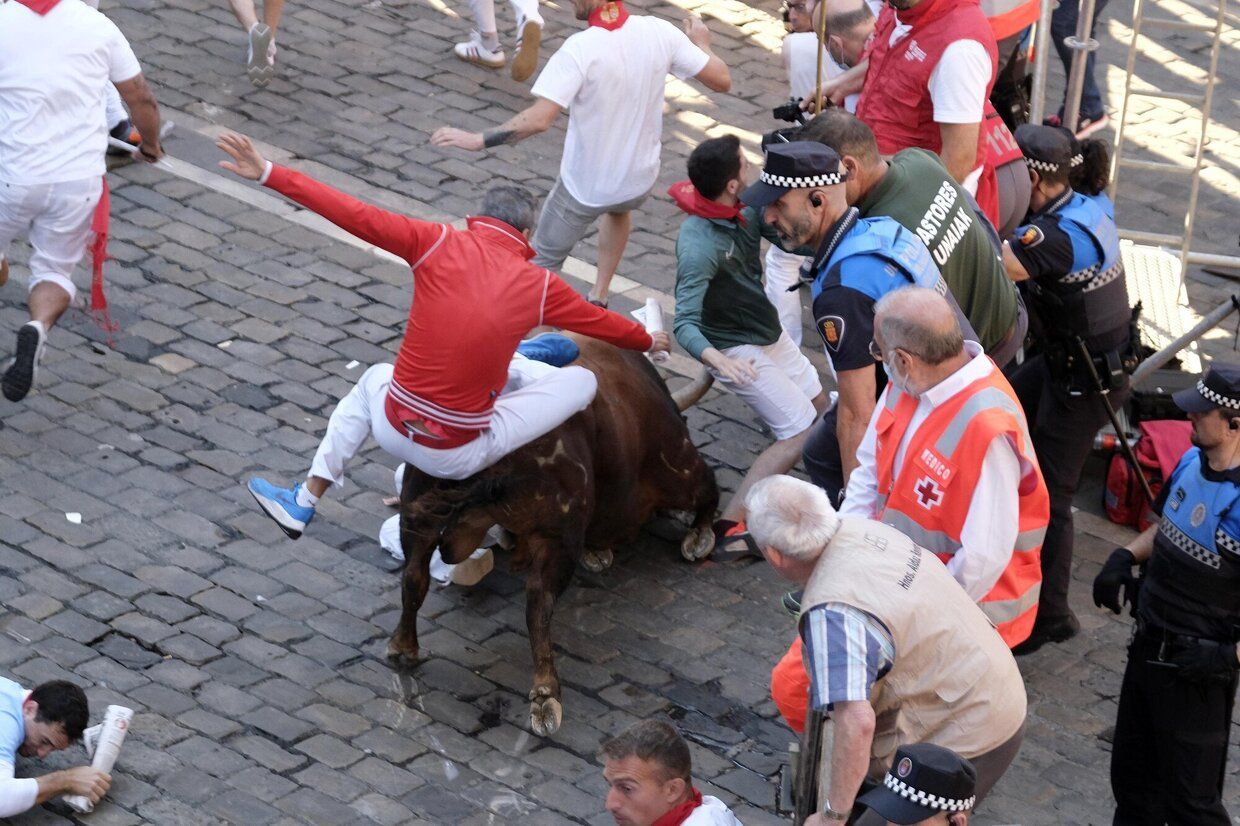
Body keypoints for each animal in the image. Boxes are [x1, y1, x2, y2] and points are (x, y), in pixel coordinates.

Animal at [384, 334, 719, 734]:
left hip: (417, 502)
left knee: (414, 574)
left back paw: (403, 645)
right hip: (598, 512)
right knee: (538, 602)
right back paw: (546, 695)